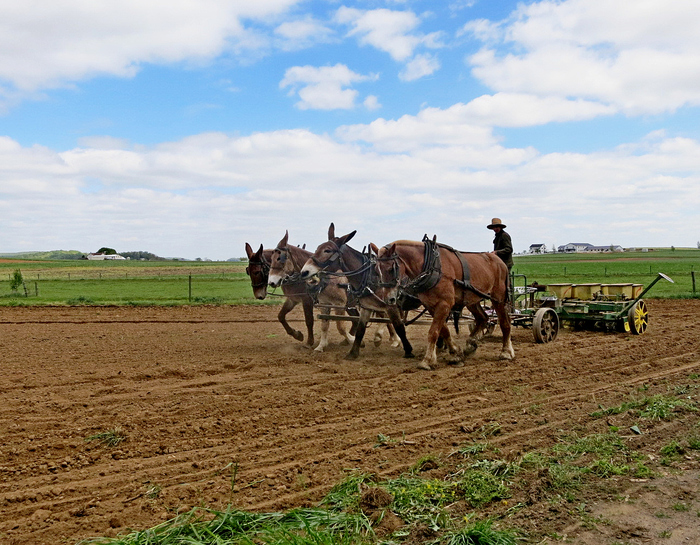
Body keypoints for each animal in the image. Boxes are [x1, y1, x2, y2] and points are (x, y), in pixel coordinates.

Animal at [300, 223, 410, 360]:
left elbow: (341, 326)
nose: (304, 272)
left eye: (327, 250)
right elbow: (326, 325)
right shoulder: (326, 304)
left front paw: (356, 340)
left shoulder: (341, 304)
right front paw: (321, 346)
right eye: (317, 248)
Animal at [372, 238, 516, 370]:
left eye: (391, 268)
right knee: (483, 318)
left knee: (505, 323)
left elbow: (433, 332)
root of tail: (499, 261)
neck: (432, 266)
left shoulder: (445, 304)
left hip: (498, 298)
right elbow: (444, 330)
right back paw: (470, 344)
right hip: (472, 299)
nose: (389, 299)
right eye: (376, 271)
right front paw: (456, 354)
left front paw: (427, 360)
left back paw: (506, 352)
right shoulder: (431, 305)